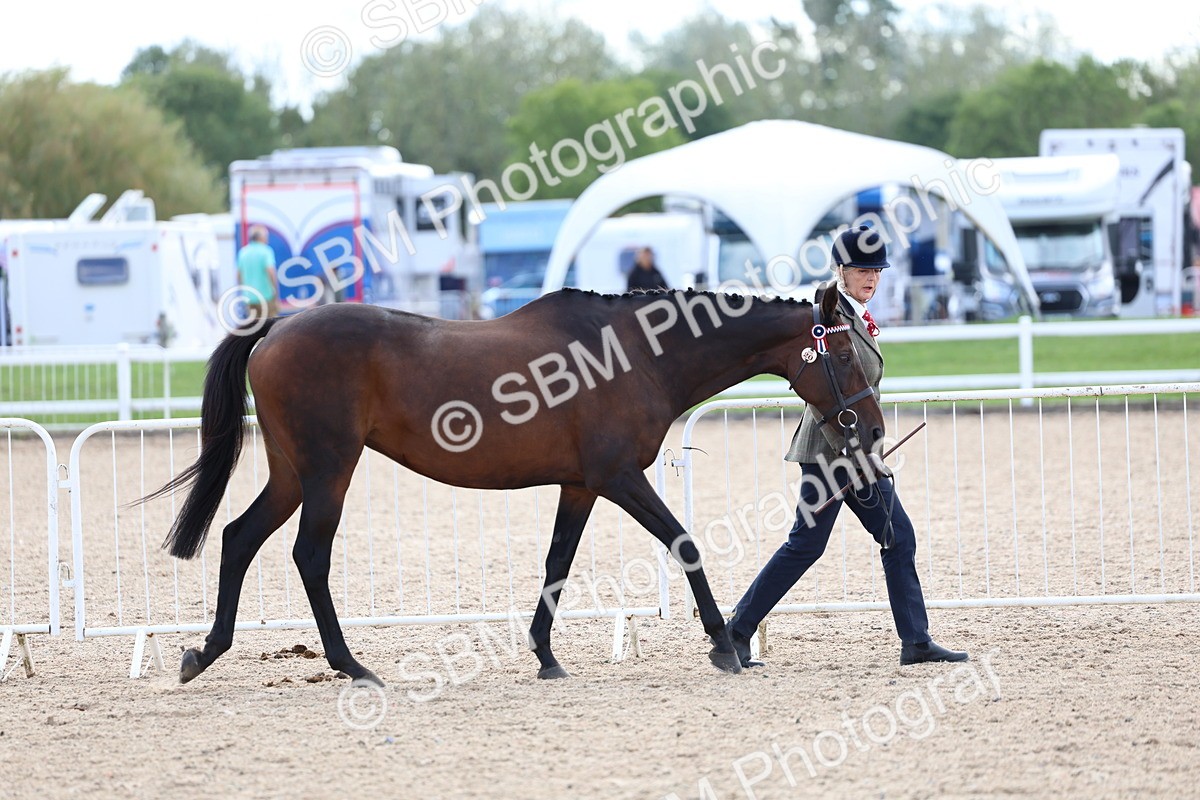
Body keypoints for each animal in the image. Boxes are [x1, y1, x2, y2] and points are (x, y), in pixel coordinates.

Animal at [144, 285, 885, 686]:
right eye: (847, 353)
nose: (873, 429)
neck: (635, 353)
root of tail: (278, 326)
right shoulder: (620, 476)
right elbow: (685, 544)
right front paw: (724, 645)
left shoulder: (581, 486)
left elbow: (557, 563)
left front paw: (545, 655)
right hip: (329, 469)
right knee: (308, 556)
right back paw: (350, 664)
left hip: (293, 473)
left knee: (239, 538)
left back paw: (204, 652)